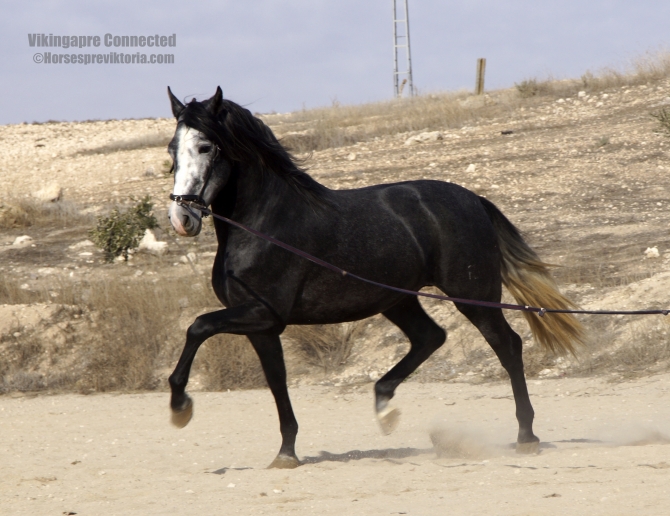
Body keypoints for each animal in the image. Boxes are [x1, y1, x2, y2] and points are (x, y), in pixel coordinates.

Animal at [165, 87, 584, 468]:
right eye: (172, 150)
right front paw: (286, 453)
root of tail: (474, 201)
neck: (264, 224)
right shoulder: (262, 326)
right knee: (430, 337)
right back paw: (384, 407)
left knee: (507, 345)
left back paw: (526, 436)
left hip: (472, 295)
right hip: (397, 298)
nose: (182, 218)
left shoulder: (264, 314)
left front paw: (180, 407)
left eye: (205, 146)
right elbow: (276, 382)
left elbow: (198, 326)